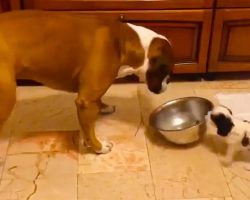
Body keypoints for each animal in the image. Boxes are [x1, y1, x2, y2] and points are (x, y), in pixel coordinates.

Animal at [0, 10, 174, 154]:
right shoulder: (85, 101)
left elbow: (98, 100)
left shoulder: (92, 94)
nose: (166, 87)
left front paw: (103, 107)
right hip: (6, 100)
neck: (121, 42)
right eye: (167, 72)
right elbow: (89, 130)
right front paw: (98, 147)